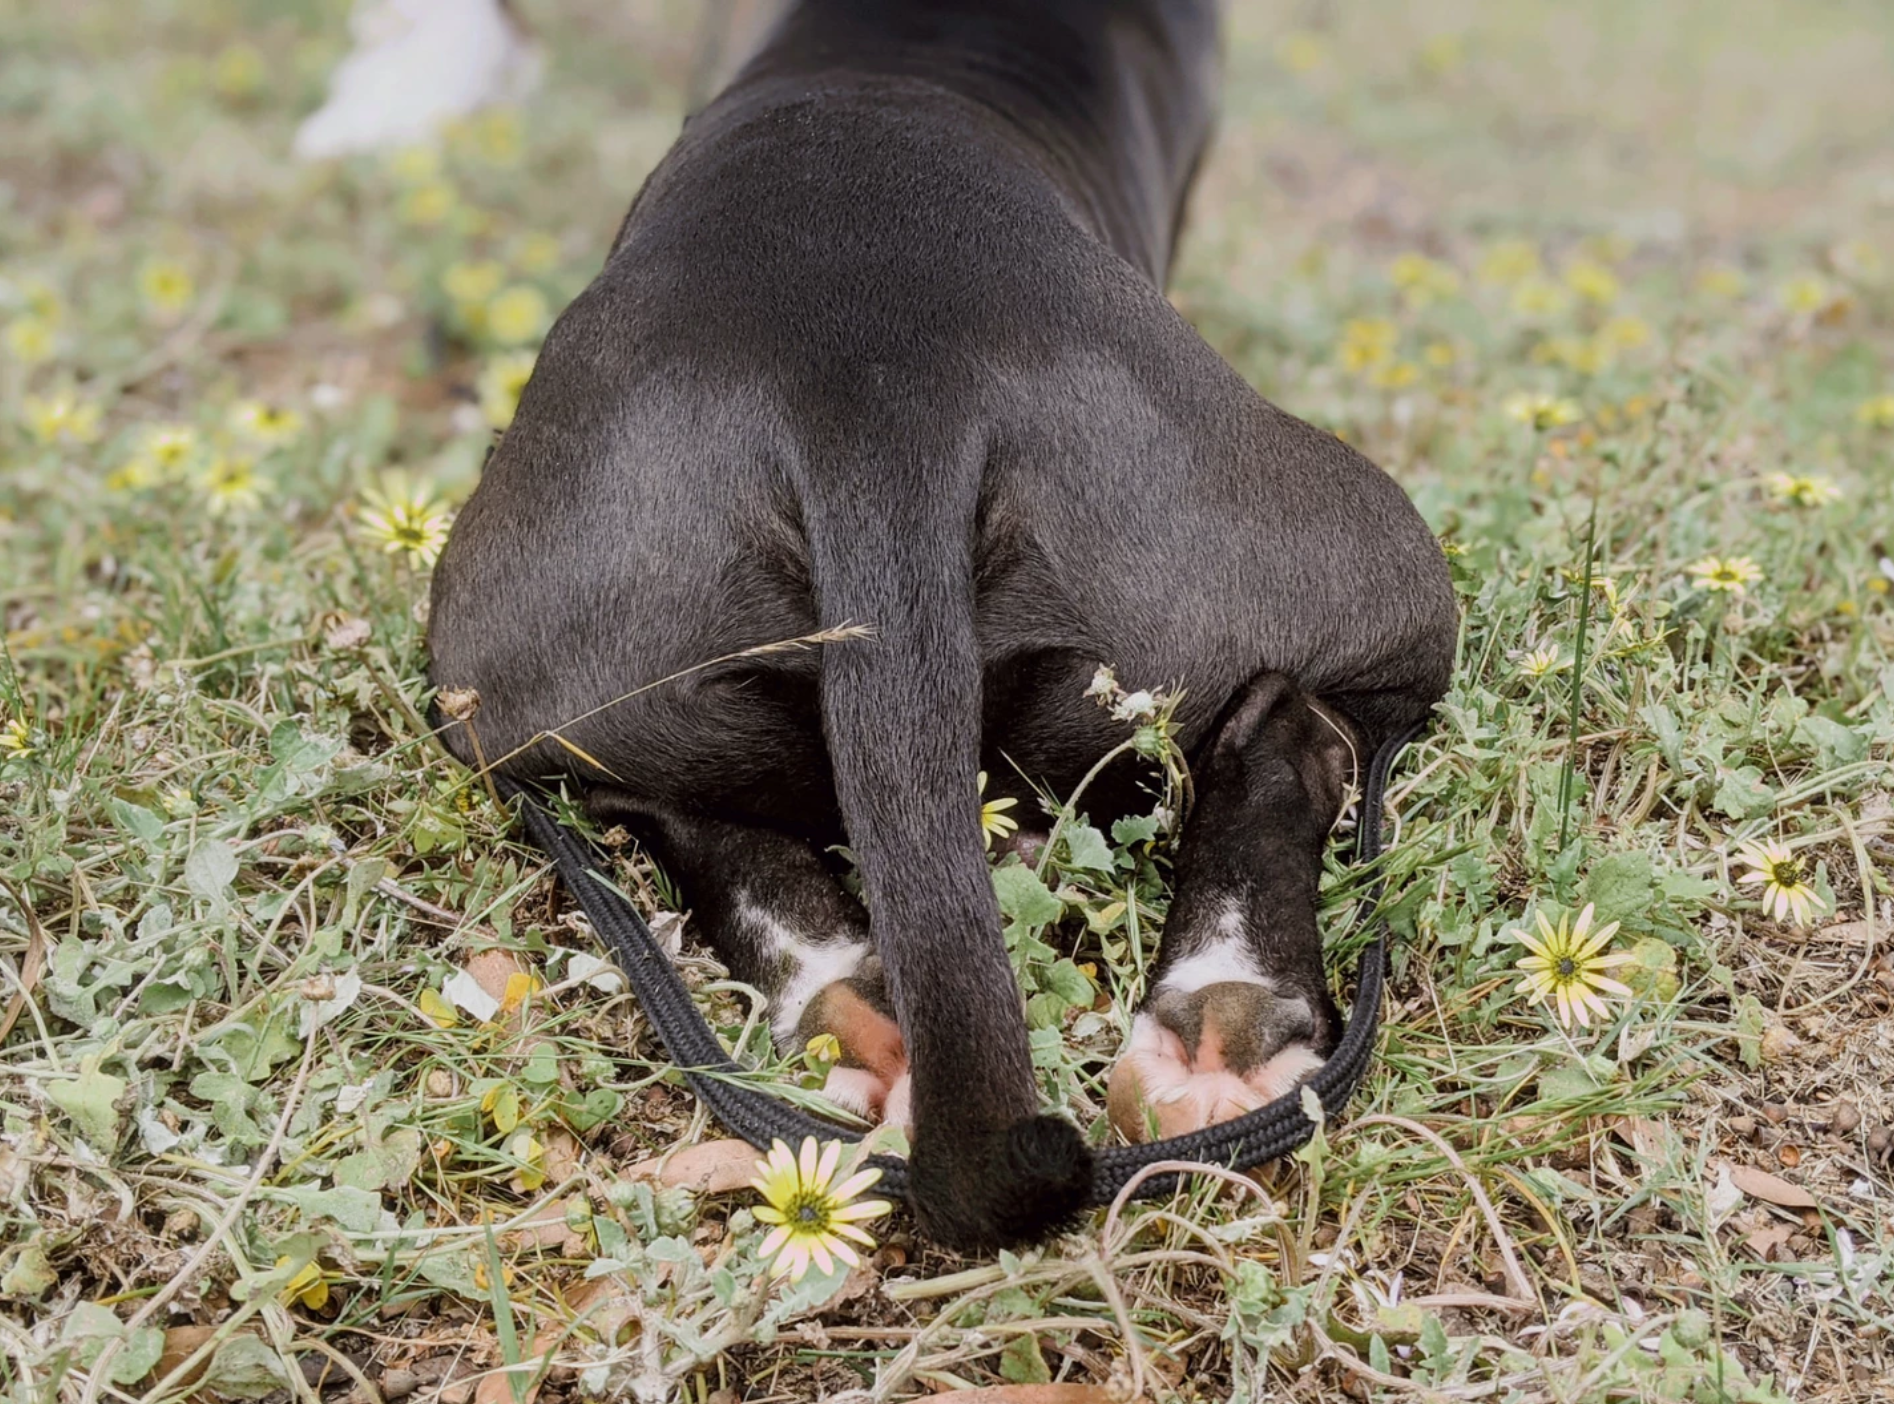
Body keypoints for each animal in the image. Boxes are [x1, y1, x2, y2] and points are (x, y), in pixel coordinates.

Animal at [426, 0, 1447, 1250]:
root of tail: (872, 407)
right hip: (1366, 560)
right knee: (1287, 730)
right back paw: (1227, 1016)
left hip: (546, 679)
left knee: (705, 831)